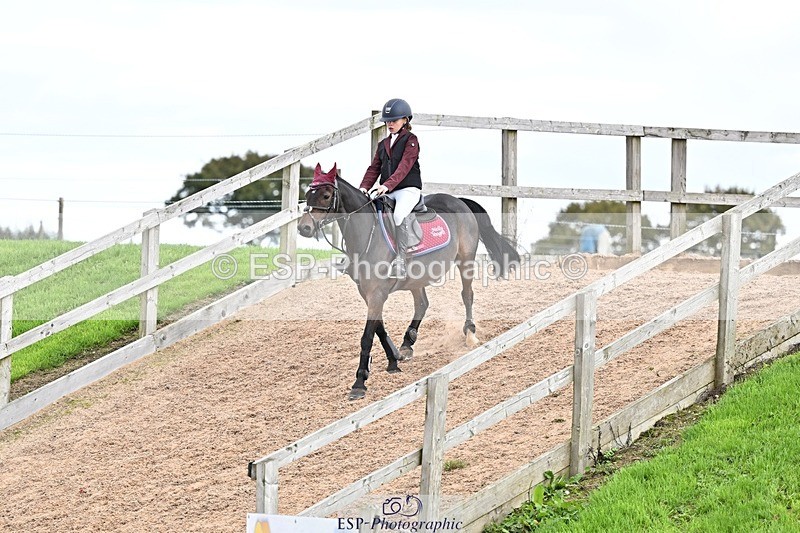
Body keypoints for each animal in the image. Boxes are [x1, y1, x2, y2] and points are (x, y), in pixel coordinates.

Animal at [298, 164, 520, 400]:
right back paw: (407, 343)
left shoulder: (376, 294)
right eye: (308, 195)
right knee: (422, 304)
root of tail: (458, 200)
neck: (367, 235)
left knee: (466, 295)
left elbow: (367, 336)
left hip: (465, 260)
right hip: (417, 277)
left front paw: (359, 383)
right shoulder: (367, 293)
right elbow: (380, 329)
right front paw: (394, 359)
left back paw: (470, 333)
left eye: (326, 195)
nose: (304, 228)